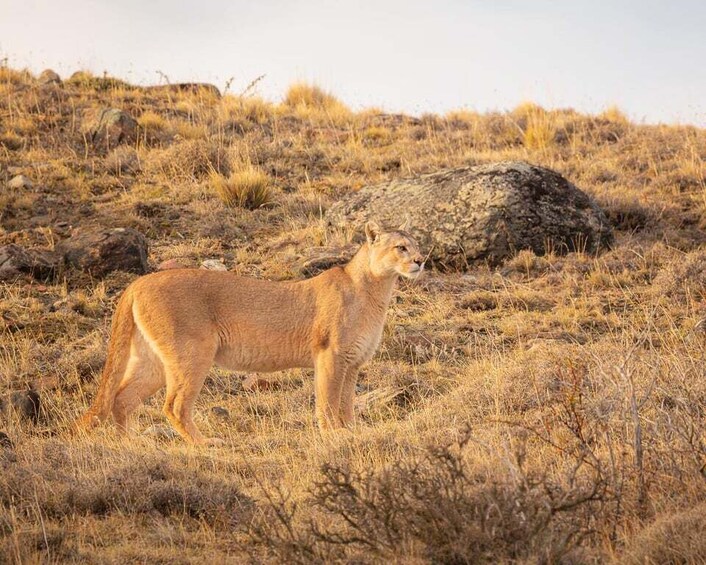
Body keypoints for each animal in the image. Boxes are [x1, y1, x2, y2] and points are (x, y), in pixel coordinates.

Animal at [77, 221, 425, 445]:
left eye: (417, 244)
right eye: (401, 247)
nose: (422, 260)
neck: (376, 289)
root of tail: (138, 282)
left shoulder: (353, 363)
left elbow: (347, 402)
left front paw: (352, 431)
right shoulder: (331, 355)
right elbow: (328, 400)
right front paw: (334, 435)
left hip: (153, 360)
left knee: (121, 398)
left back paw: (130, 444)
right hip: (193, 353)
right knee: (173, 405)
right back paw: (205, 444)